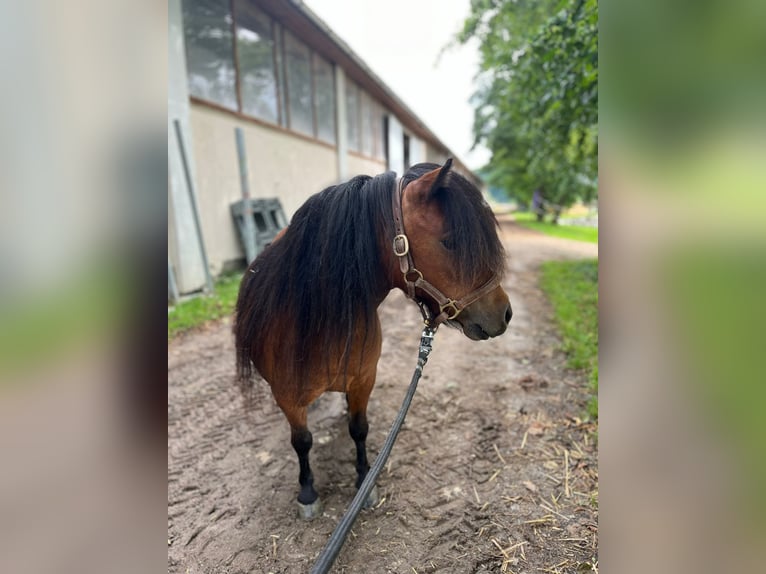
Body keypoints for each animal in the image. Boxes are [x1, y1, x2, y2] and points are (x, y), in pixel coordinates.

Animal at [232, 160, 510, 520]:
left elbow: (358, 428)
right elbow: (302, 441)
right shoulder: (287, 397)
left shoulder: (364, 380)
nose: (505, 313)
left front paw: (364, 479)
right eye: (450, 242)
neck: (314, 321)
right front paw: (307, 492)